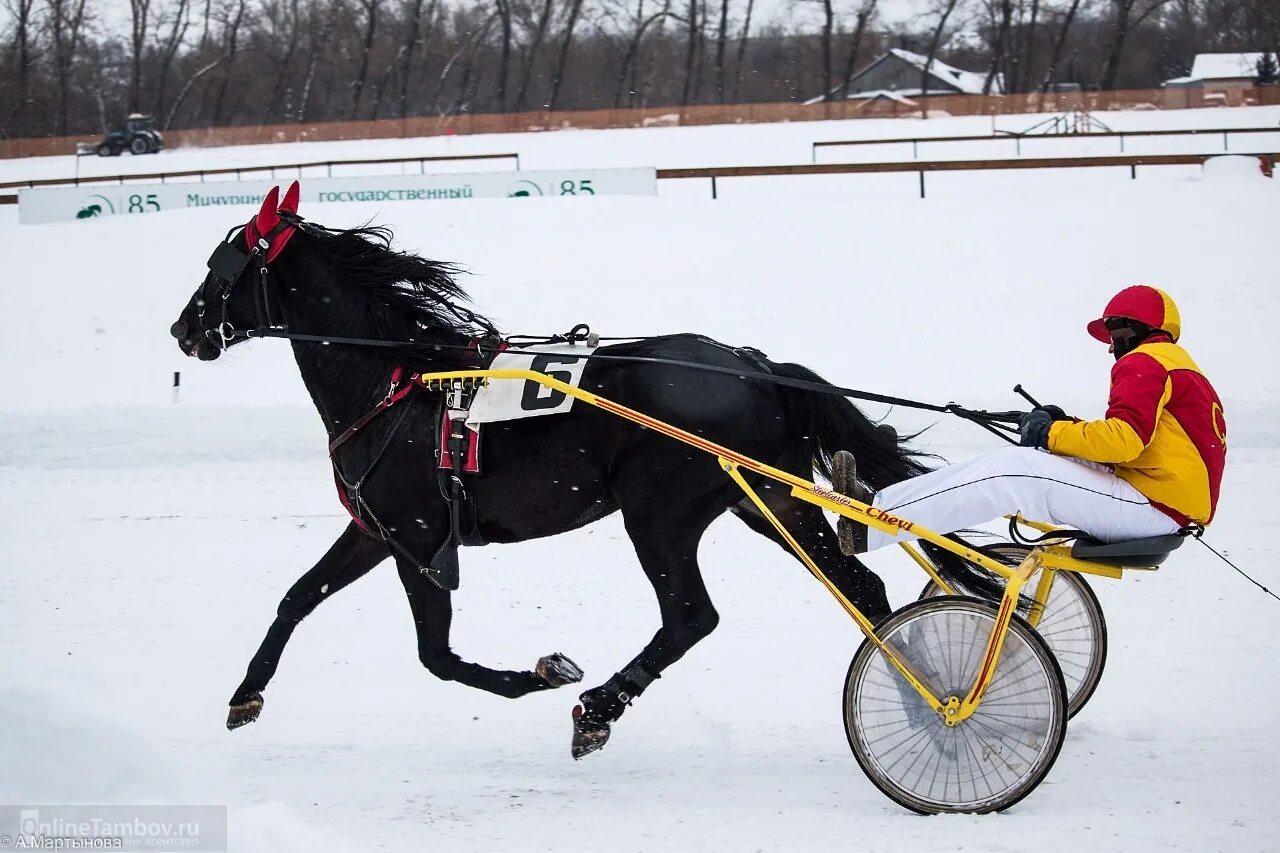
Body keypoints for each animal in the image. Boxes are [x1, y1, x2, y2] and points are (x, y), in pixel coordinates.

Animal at [167, 184, 967, 753]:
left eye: (220, 267)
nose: (182, 328)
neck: (396, 381)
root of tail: (753, 365)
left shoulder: (418, 538)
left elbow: (436, 655)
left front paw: (545, 674)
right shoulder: (374, 529)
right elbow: (297, 597)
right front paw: (245, 694)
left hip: (660, 513)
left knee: (690, 616)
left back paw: (600, 706)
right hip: (768, 499)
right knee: (862, 588)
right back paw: (919, 695)